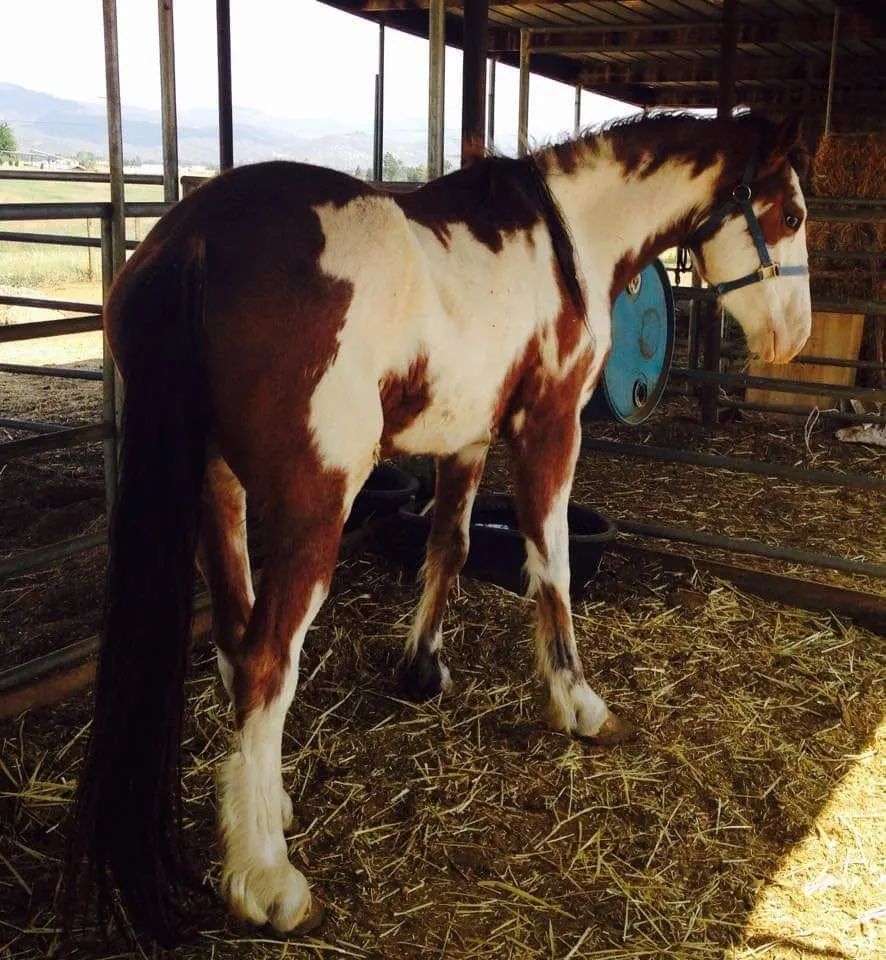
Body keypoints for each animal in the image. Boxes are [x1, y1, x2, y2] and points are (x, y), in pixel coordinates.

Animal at [62, 112, 812, 944]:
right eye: (791, 213)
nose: (796, 336)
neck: (566, 236)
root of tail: (194, 238)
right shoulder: (552, 426)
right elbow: (549, 561)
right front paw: (578, 703)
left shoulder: (468, 437)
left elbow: (449, 545)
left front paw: (423, 667)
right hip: (314, 508)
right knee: (265, 662)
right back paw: (267, 878)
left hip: (217, 489)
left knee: (234, 637)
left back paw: (265, 806)